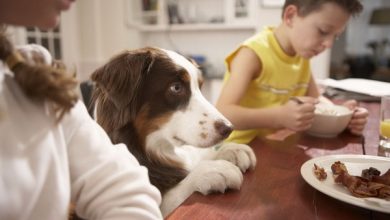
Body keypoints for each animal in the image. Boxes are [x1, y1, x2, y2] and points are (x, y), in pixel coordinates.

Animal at [90, 46, 258, 217]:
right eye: (176, 87)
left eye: (199, 87)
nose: (229, 128)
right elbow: (172, 194)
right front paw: (212, 170)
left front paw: (231, 150)